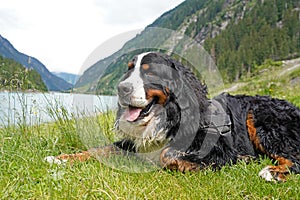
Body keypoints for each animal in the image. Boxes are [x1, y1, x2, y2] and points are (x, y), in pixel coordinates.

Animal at [45, 52, 298, 182]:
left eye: (149, 72)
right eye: (129, 69)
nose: (121, 88)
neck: (166, 118)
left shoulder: (217, 148)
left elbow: (167, 154)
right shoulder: (132, 144)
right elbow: (98, 149)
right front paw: (62, 158)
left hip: (261, 118)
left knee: (294, 158)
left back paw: (273, 171)